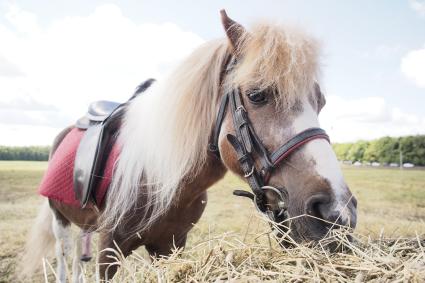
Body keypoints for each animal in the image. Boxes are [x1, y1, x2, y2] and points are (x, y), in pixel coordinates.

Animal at [21, 10, 356, 282]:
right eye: (257, 94)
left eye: (321, 102)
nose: (337, 213)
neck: (157, 176)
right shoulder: (109, 250)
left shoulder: (170, 246)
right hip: (60, 220)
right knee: (64, 256)